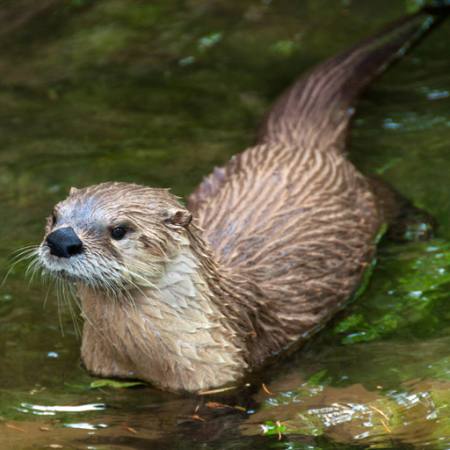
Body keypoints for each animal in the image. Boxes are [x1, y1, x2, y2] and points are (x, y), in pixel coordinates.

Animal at [36, 8, 446, 392]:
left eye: (119, 229)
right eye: (55, 217)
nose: (61, 240)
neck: (146, 361)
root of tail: (294, 143)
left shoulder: (225, 377)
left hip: (364, 196)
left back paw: (419, 227)